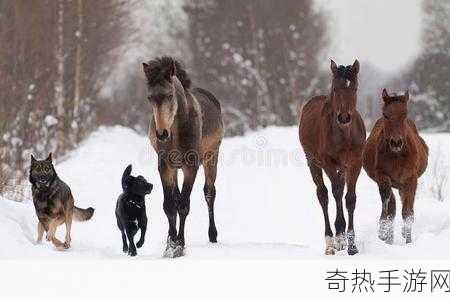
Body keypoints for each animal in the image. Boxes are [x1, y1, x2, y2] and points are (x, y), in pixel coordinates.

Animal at [142, 56, 223, 258]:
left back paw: (213, 235)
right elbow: (170, 205)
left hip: (212, 158)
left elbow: (184, 205)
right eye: (150, 97)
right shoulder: (165, 166)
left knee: (209, 193)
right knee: (177, 197)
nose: (161, 134)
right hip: (175, 168)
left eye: (170, 95)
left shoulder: (190, 166)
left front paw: (179, 245)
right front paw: (170, 245)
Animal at [298, 59, 366, 255]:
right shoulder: (328, 163)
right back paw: (330, 241)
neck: (344, 135)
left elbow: (350, 198)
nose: (344, 118)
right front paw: (341, 238)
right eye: (335, 89)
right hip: (313, 162)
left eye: (355, 88)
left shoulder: (355, 163)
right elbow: (335, 193)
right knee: (324, 195)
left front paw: (352, 245)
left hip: (342, 167)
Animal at [362, 88, 428, 244]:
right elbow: (389, 206)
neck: (397, 156)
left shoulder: (411, 179)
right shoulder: (382, 177)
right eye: (385, 114)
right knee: (391, 206)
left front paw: (408, 240)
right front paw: (385, 235)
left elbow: (407, 213)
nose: (396, 142)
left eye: (404, 114)